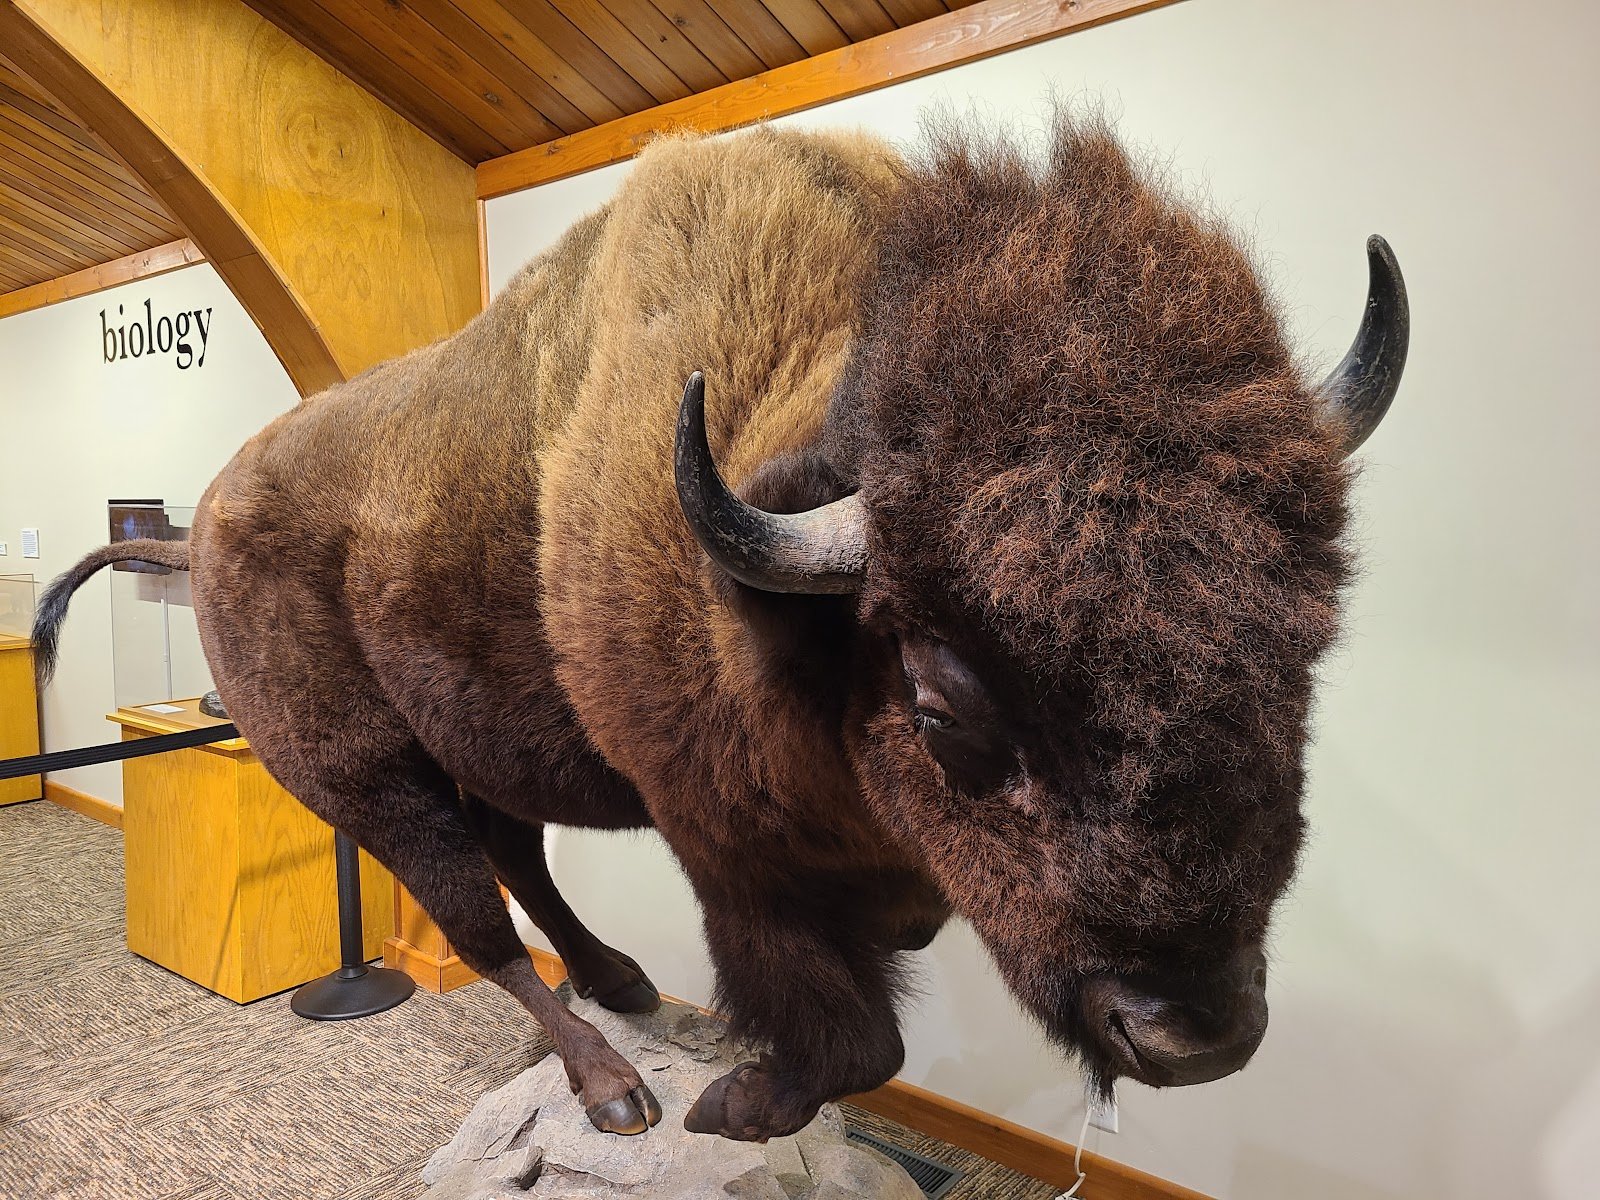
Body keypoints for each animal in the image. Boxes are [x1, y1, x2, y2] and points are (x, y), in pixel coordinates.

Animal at [36, 114, 1407, 1142]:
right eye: (940, 706)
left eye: (1298, 655)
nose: (1191, 1037)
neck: (797, 623)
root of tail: (204, 524)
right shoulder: (730, 852)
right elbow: (855, 1037)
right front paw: (736, 1108)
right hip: (365, 776)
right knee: (476, 919)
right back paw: (614, 1089)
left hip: (476, 744)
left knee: (518, 859)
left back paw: (623, 985)